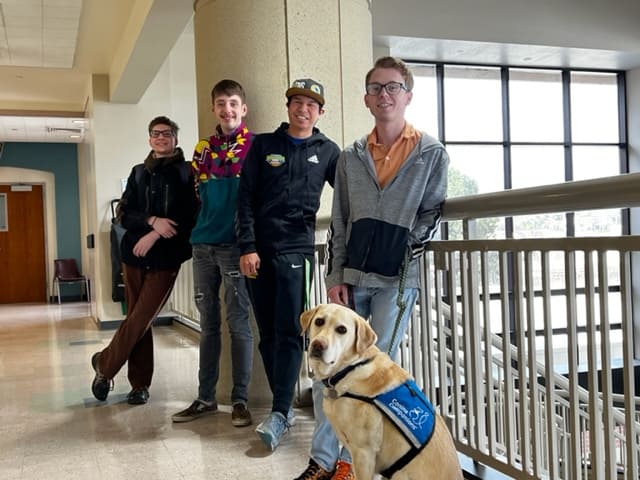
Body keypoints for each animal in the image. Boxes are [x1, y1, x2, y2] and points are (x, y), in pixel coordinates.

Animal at [300, 306, 460, 478]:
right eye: (319, 321)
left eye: (342, 329)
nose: (318, 345)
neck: (351, 367)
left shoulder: (364, 452)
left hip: (399, 475)